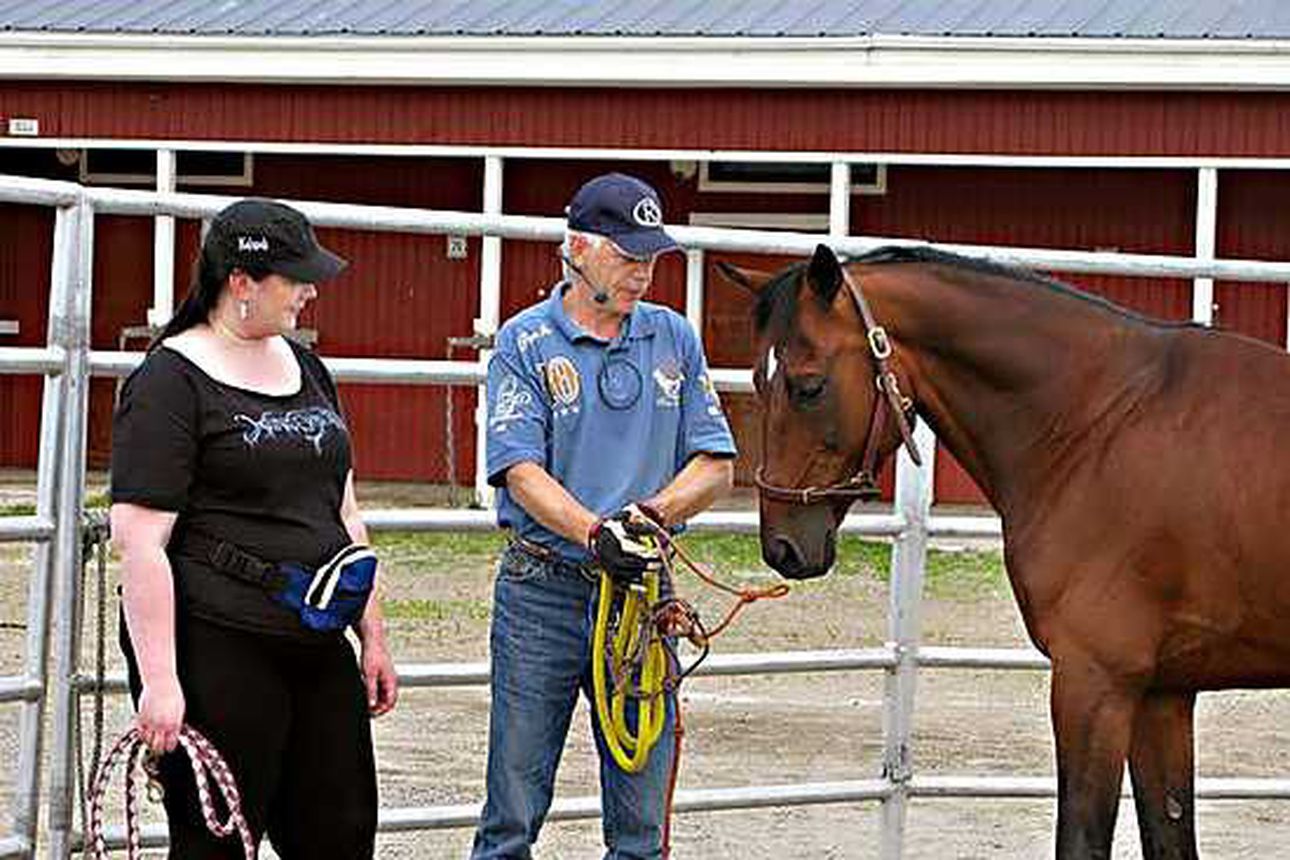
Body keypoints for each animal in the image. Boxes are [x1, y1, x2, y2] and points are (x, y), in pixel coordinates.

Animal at [722, 242, 1290, 860]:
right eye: (756, 380)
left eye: (808, 386)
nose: (782, 546)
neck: (1103, 422)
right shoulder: (1163, 693)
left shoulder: (1095, 684)